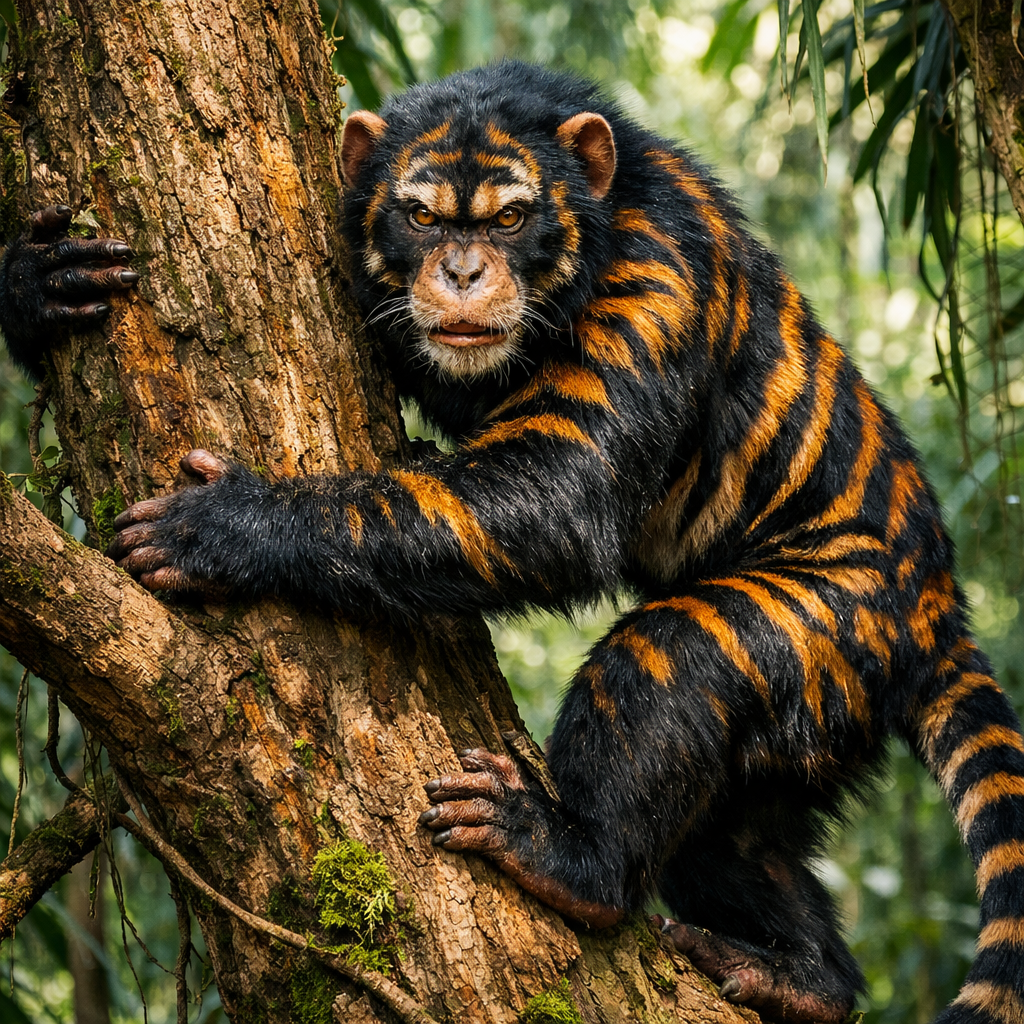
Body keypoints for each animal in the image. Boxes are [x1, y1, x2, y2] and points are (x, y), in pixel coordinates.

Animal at [4, 63, 1022, 1024]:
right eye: (419, 216)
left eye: (510, 217)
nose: (460, 272)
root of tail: (941, 612)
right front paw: (36, 284)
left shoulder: (658, 275)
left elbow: (558, 487)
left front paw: (229, 525)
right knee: (729, 841)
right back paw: (802, 976)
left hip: (828, 613)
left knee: (669, 664)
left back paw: (568, 857)